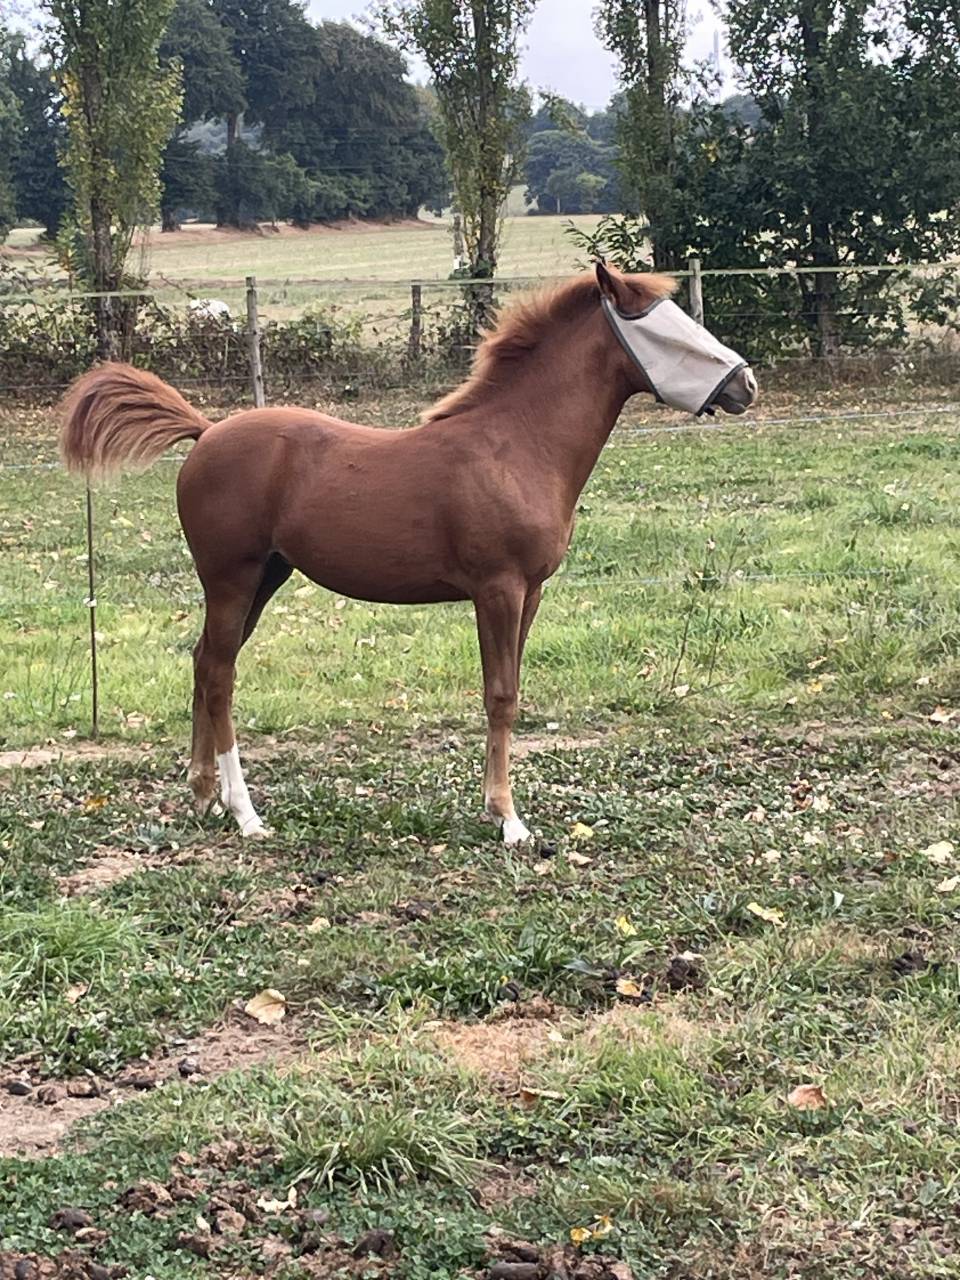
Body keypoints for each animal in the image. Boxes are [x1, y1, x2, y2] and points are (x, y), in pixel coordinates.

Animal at [60, 263, 758, 843]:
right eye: (666, 329)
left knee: (205, 663)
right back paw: (244, 812)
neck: (516, 445)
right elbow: (501, 695)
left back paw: (204, 795)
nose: (745, 384)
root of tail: (205, 433)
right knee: (221, 675)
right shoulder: (498, 589)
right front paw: (509, 821)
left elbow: (509, 692)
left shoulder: (529, 592)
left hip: (264, 578)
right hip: (232, 578)